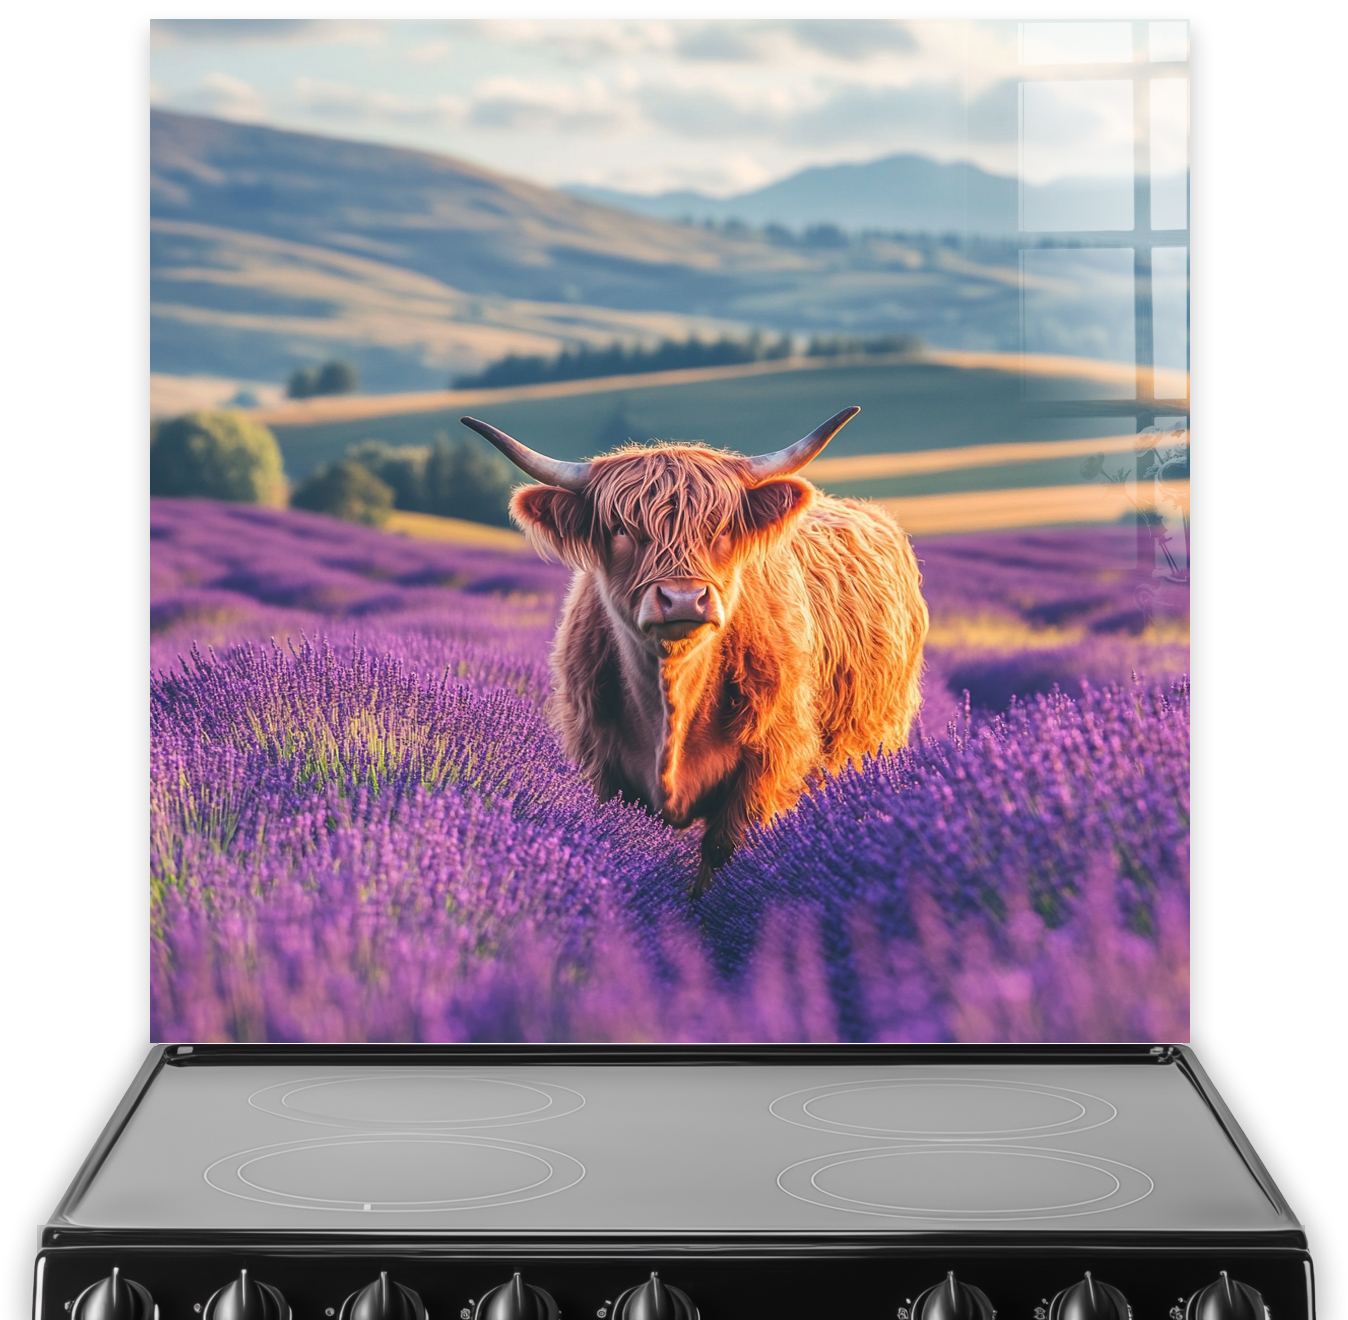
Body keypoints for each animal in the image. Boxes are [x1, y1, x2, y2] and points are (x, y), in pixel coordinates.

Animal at [460, 408, 929, 895]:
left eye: (720, 528)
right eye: (621, 529)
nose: (683, 599)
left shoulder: (766, 768)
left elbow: (722, 857)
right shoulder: (600, 764)